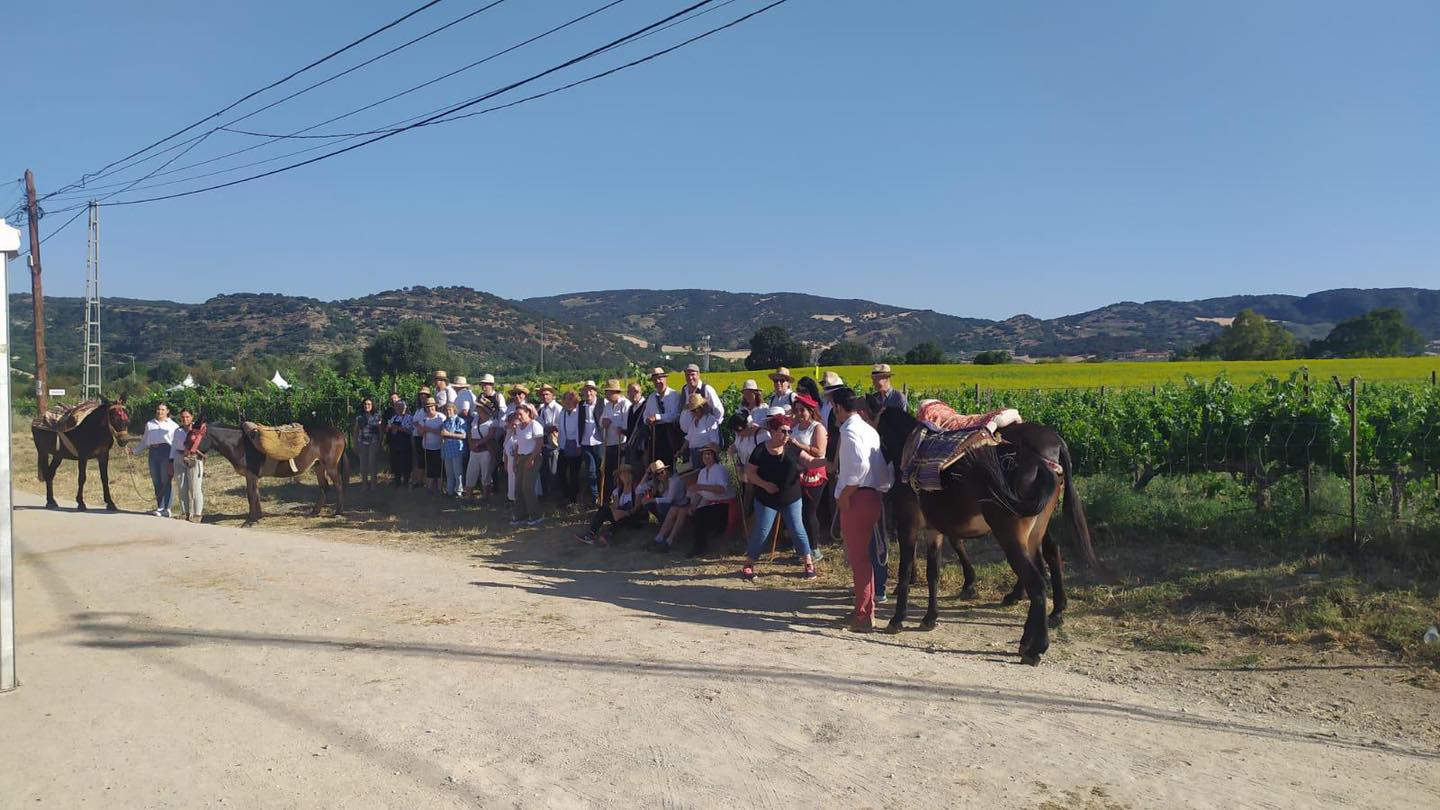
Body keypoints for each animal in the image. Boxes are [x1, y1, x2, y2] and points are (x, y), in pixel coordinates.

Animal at [197, 423, 348, 524]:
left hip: (330, 466)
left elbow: (251, 495)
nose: (190, 454)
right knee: (324, 487)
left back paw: (338, 513)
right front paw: (258, 517)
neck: (239, 444)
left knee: (339, 485)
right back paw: (314, 512)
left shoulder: (250, 475)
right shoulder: (253, 476)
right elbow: (256, 494)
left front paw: (250, 520)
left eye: (194, 437)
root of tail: (339, 433)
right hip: (318, 466)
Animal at [869, 392, 1094, 662]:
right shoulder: (935, 529)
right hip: (1032, 533)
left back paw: (1036, 646)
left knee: (1037, 581)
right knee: (1043, 566)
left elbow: (906, 570)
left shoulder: (909, 526)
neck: (910, 448)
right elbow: (933, 572)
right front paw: (930, 617)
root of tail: (1053, 448)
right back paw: (1036, 629)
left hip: (1011, 536)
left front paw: (897, 619)